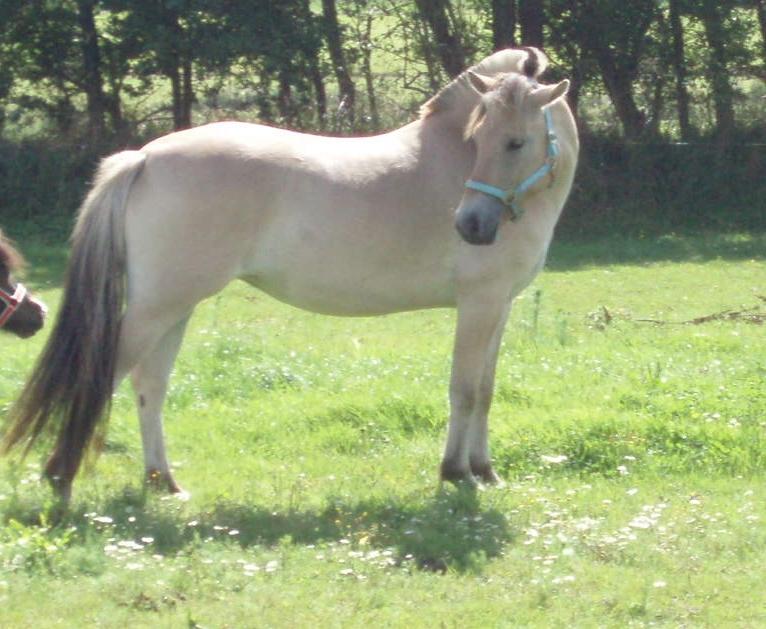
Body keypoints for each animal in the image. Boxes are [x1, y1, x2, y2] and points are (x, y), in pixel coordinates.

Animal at [0, 46, 576, 502]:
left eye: (514, 142)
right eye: (478, 138)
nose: (471, 225)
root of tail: (143, 158)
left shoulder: (499, 306)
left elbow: (486, 389)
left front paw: (485, 470)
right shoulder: (479, 305)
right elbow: (464, 389)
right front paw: (456, 473)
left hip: (172, 306)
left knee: (150, 384)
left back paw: (163, 482)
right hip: (157, 308)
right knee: (108, 376)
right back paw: (61, 477)